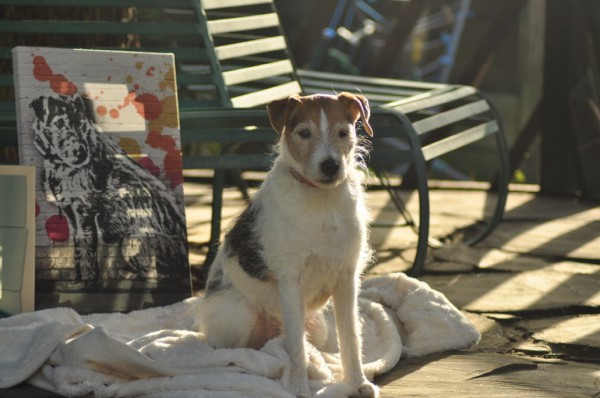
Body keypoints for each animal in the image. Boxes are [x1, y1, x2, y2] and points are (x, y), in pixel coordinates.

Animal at [30, 94, 189, 284]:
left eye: (81, 123)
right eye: (59, 123)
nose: (81, 153)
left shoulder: (85, 215)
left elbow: (88, 253)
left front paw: (88, 281)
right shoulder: (72, 216)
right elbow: (79, 252)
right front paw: (79, 280)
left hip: (132, 239)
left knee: (160, 276)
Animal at [199, 91, 378, 396]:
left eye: (344, 132)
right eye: (304, 133)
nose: (331, 165)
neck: (321, 200)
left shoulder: (347, 278)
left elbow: (351, 337)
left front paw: (358, 383)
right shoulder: (291, 280)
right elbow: (296, 347)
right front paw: (299, 388)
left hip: (318, 327)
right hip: (242, 314)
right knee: (235, 350)